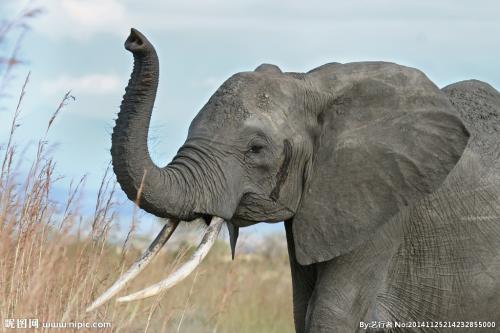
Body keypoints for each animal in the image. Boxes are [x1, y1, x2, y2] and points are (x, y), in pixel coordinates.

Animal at [87, 29, 500, 332]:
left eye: (256, 149)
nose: (133, 38)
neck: (313, 84)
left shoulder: (382, 212)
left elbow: (330, 316)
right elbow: (303, 310)